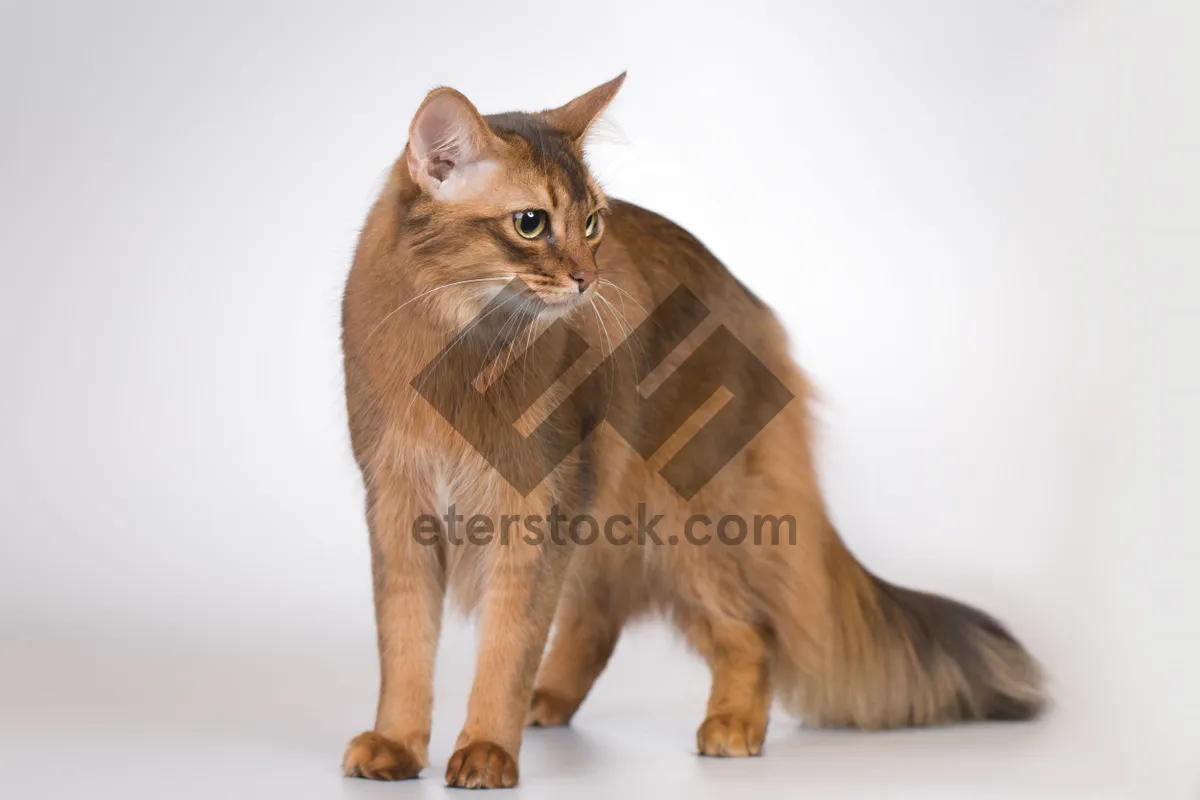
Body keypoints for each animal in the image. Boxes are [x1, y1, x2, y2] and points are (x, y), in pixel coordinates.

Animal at [336, 73, 1041, 786]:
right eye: (530, 223)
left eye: (591, 222)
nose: (587, 278)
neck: (462, 349)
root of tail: (754, 308)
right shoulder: (399, 506)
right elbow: (405, 643)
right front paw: (397, 743)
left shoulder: (535, 507)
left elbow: (507, 645)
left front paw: (485, 749)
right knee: (600, 615)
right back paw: (550, 699)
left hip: (688, 515)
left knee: (750, 633)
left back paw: (731, 725)